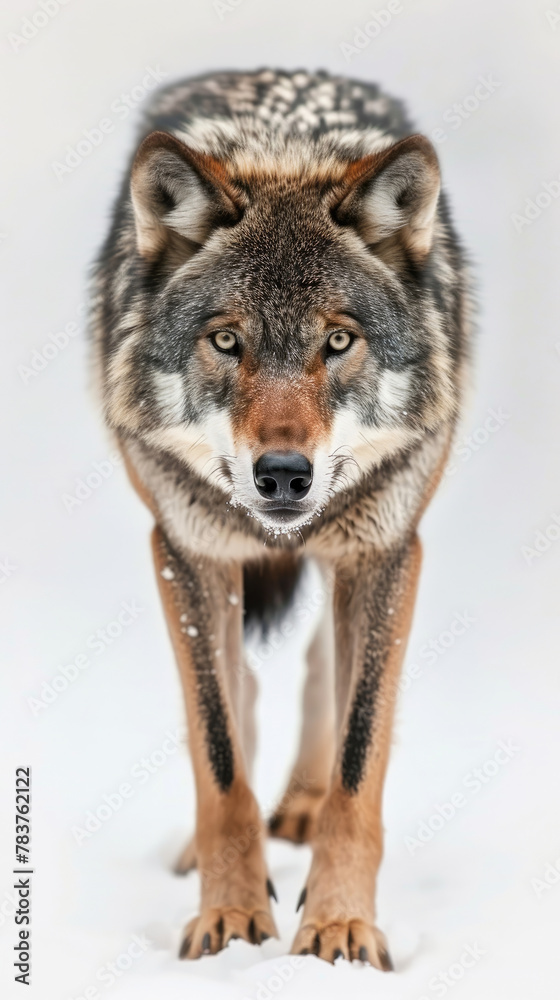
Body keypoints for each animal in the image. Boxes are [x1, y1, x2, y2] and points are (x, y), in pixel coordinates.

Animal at [91, 68, 471, 967]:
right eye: (228, 341)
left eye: (338, 341)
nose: (284, 476)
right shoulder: (186, 549)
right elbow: (219, 755)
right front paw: (229, 920)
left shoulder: (387, 549)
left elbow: (360, 762)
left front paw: (338, 928)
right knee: (244, 686)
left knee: (319, 667)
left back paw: (298, 806)